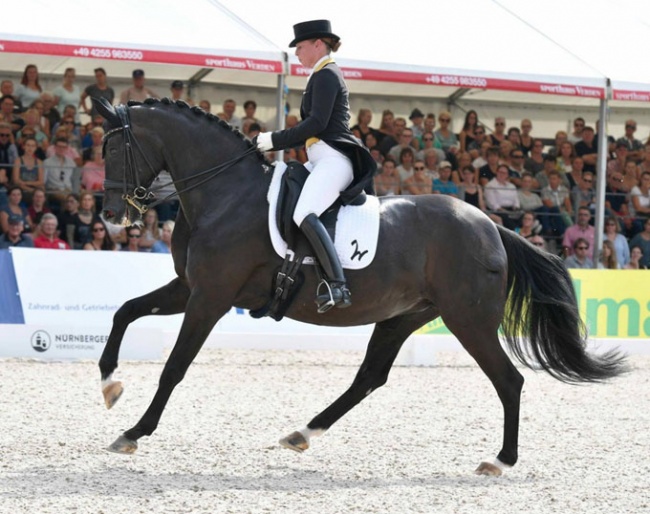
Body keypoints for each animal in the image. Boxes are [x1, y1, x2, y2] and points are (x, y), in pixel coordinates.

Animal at [93, 98, 624, 474]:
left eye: (115, 148)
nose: (111, 215)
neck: (225, 194)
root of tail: (491, 225)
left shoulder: (211, 297)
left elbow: (174, 367)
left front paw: (133, 431)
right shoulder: (191, 288)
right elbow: (124, 311)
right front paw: (110, 385)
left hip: (468, 320)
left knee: (508, 380)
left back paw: (499, 460)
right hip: (404, 315)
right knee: (370, 377)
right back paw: (302, 433)